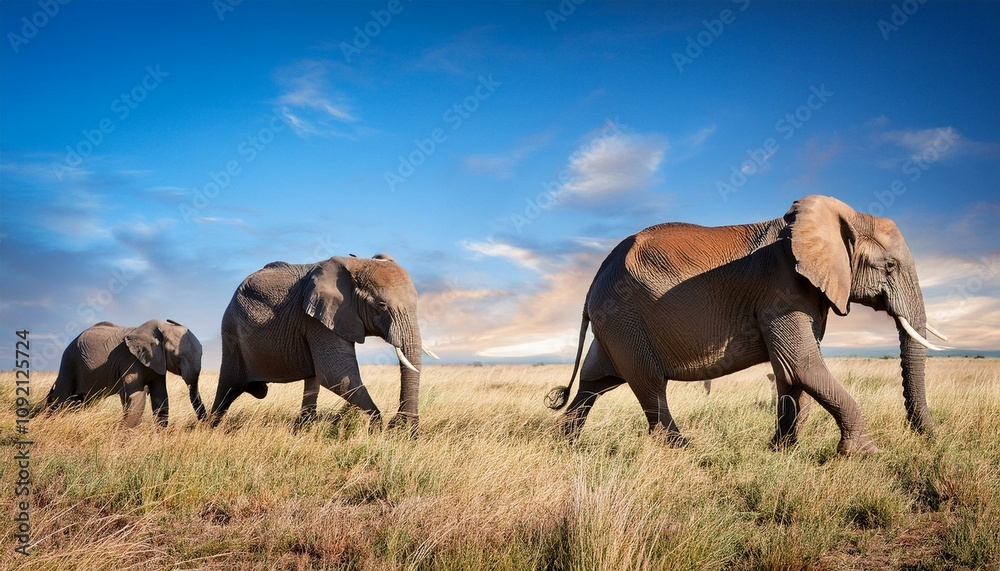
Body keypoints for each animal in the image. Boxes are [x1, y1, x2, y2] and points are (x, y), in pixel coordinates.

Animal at [45, 320, 206, 427]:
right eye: (177, 357)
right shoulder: (130, 360)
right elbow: (137, 397)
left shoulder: (157, 361)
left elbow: (161, 396)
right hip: (69, 361)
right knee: (61, 397)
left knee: (80, 400)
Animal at [209, 254, 438, 434]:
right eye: (381, 306)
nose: (404, 428)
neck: (356, 263)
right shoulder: (316, 318)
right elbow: (336, 374)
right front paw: (377, 426)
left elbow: (330, 376)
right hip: (231, 332)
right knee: (229, 387)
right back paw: (210, 427)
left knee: (311, 380)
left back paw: (301, 430)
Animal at [546, 195, 947, 455]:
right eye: (890, 266)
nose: (928, 439)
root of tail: (591, 284)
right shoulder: (781, 290)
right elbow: (803, 365)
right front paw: (864, 454)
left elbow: (790, 373)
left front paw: (782, 451)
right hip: (625, 320)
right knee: (649, 384)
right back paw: (684, 449)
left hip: (613, 325)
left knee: (596, 381)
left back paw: (564, 444)